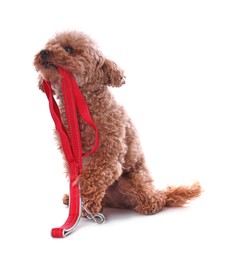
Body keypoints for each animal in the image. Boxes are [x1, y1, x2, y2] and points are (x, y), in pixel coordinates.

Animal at [33, 31, 202, 217]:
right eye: (49, 45)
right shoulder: (69, 153)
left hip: (133, 179)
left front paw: (85, 201)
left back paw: (146, 205)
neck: (82, 108)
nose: (43, 52)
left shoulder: (110, 152)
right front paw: (79, 200)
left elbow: (93, 175)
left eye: (68, 49)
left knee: (157, 199)